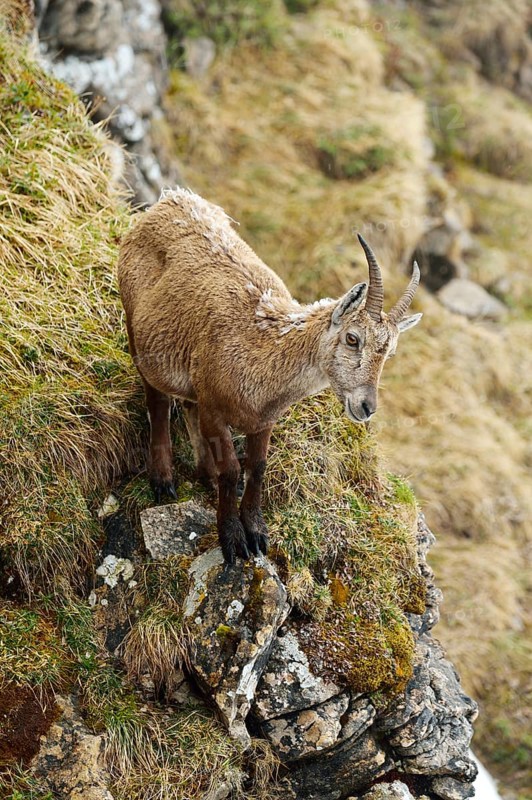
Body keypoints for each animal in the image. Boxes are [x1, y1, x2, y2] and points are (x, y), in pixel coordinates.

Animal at [118, 188, 422, 564]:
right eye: (353, 338)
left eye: (389, 353)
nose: (366, 407)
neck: (263, 353)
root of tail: (170, 199)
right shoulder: (215, 409)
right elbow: (232, 470)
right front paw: (233, 539)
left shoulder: (263, 419)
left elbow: (258, 467)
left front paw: (257, 533)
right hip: (137, 332)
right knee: (157, 401)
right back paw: (162, 479)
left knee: (186, 405)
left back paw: (204, 473)